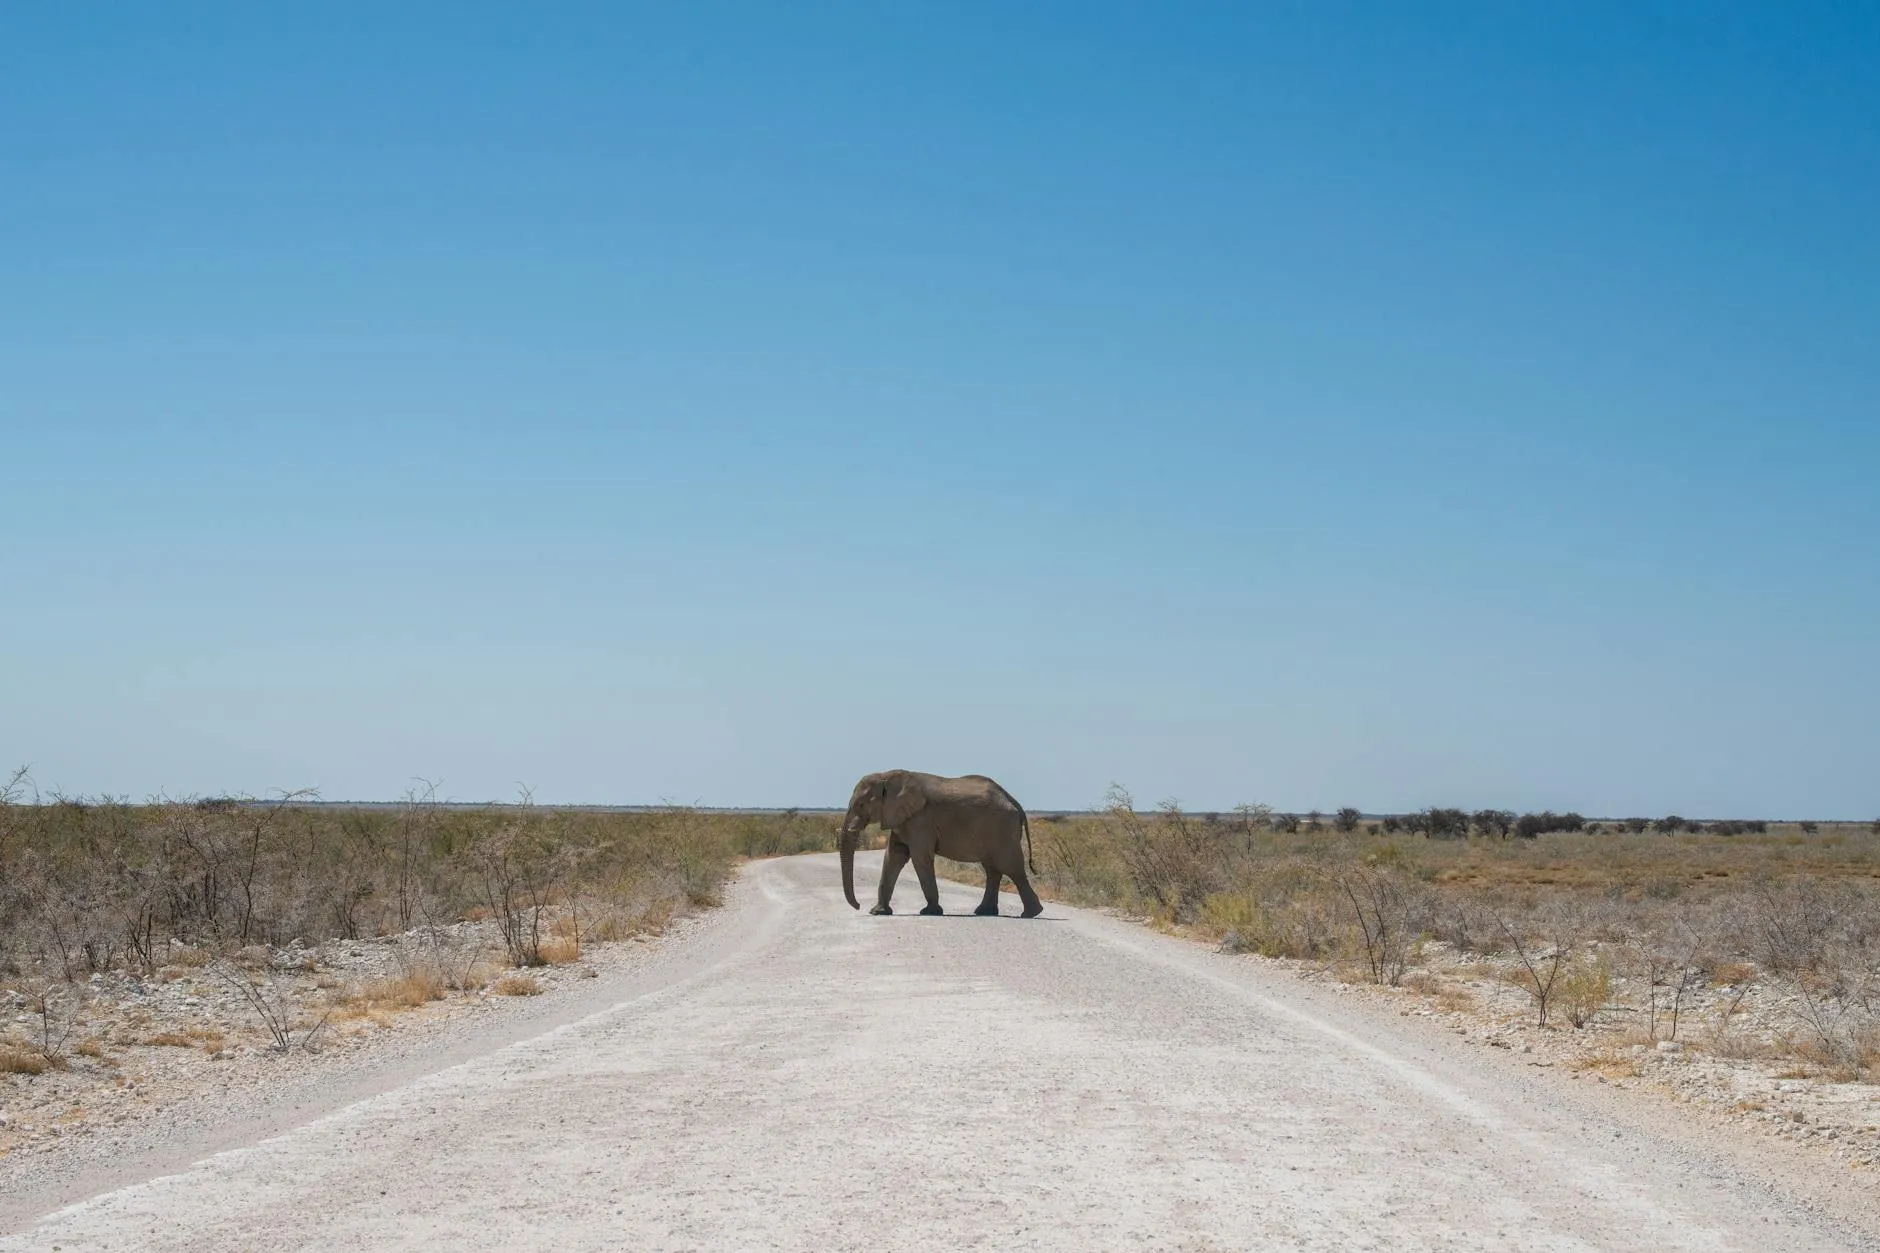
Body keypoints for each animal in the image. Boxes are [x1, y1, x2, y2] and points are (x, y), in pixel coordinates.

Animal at [837, 770, 1043, 918]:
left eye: (861, 804)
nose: (858, 906)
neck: (887, 776)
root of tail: (1014, 802)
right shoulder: (903, 819)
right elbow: (893, 857)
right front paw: (878, 912)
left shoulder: (920, 820)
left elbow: (920, 858)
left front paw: (930, 912)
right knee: (993, 870)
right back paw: (984, 912)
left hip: (1002, 828)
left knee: (1011, 867)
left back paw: (1030, 914)